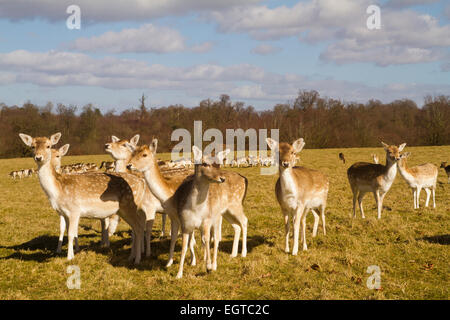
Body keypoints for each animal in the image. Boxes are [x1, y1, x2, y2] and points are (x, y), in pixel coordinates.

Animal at [19, 132, 147, 262]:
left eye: (48, 146)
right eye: (32, 146)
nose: (39, 157)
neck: (58, 191)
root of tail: (141, 183)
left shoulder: (74, 210)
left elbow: (71, 234)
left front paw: (69, 258)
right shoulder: (64, 213)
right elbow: (67, 232)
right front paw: (71, 253)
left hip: (130, 206)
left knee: (139, 228)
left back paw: (137, 259)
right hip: (124, 210)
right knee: (136, 229)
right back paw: (132, 257)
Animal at [173, 146, 250, 278]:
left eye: (218, 164)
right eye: (204, 163)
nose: (222, 178)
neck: (195, 209)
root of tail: (244, 179)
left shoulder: (207, 221)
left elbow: (207, 240)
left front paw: (208, 266)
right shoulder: (185, 224)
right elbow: (184, 247)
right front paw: (179, 274)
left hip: (235, 205)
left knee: (243, 221)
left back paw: (241, 254)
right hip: (225, 212)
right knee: (236, 226)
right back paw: (233, 254)